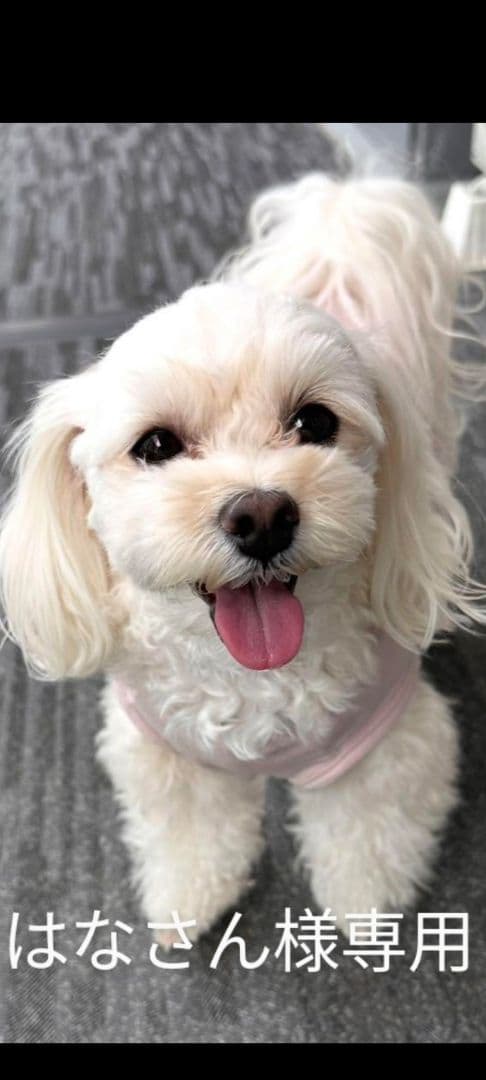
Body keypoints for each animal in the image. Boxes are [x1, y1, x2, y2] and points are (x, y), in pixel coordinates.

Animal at [1, 174, 485, 945]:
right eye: (157, 445)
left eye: (315, 422)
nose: (261, 517)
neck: (252, 676)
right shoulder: (163, 753)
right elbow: (191, 829)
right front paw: (187, 898)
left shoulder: (394, 740)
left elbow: (368, 827)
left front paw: (364, 909)